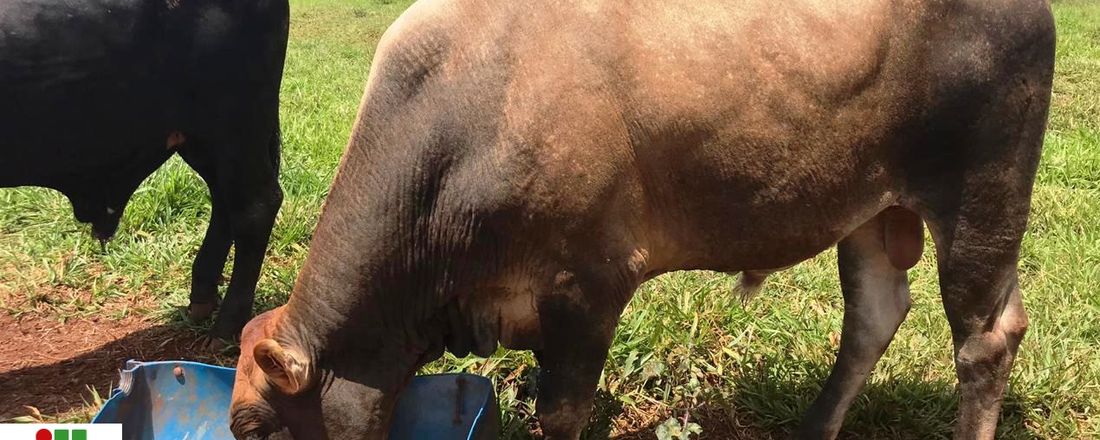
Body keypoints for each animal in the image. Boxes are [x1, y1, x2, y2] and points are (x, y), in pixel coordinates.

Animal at [0, 0, 290, 341]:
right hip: (204, 140)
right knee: (226, 203)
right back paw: (202, 299)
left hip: (236, 125)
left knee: (255, 207)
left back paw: (226, 326)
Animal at [227, 0, 1051, 437]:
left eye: (255, 426)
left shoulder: (587, 286)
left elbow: (562, 411)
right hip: (873, 211)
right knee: (875, 316)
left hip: (983, 197)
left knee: (985, 339)